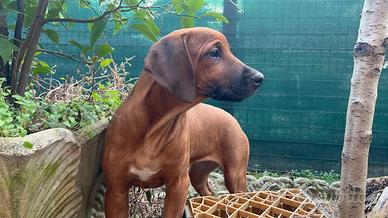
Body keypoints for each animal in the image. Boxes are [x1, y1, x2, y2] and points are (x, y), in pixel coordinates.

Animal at [102, 26, 264, 217]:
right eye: (214, 53)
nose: (260, 77)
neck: (153, 130)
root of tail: (231, 118)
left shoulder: (178, 183)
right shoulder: (116, 190)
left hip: (235, 174)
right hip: (199, 174)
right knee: (209, 194)